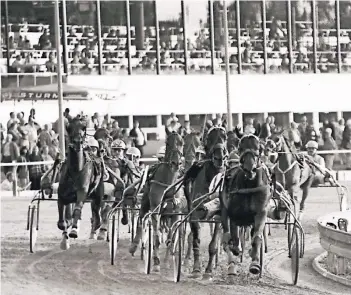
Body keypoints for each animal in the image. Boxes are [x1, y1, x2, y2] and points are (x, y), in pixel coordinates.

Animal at [57, 118, 104, 250]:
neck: (76, 169)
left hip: (98, 193)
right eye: (68, 127)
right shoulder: (62, 195)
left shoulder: (82, 192)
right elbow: (62, 219)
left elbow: (77, 210)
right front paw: (64, 239)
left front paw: (73, 231)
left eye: (84, 127)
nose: (78, 142)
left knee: (97, 210)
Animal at [129, 132, 184, 272]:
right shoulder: (155, 208)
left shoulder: (175, 212)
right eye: (168, 143)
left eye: (182, 142)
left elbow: (171, 237)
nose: (176, 163)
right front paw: (156, 262)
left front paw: (167, 261)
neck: (168, 184)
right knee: (141, 219)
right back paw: (134, 246)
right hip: (144, 202)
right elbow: (156, 236)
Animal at [184, 126, 228, 280]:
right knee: (191, 236)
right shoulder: (194, 213)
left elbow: (213, 244)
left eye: (225, 137)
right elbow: (195, 239)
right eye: (209, 138)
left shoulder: (218, 215)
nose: (219, 157)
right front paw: (196, 269)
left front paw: (208, 271)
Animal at [221, 134, 274, 278]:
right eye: (241, 148)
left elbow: (256, 237)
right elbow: (233, 237)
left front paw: (255, 264)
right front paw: (235, 249)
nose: (249, 167)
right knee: (226, 233)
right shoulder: (233, 213)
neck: (249, 185)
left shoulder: (261, 212)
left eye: (258, 148)